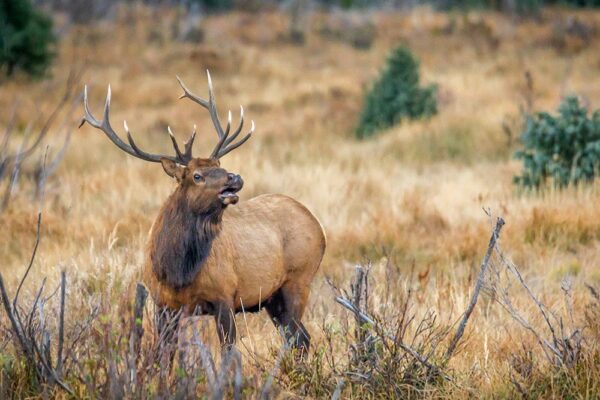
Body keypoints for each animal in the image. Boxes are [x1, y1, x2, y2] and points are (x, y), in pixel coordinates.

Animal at [80, 71, 328, 356]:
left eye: (219, 164)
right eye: (197, 176)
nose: (235, 178)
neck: (176, 271)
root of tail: (318, 226)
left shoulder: (225, 297)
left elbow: (229, 353)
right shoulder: (163, 304)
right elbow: (164, 354)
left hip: (298, 280)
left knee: (300, 337)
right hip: (272, 297)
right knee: (301, 337)